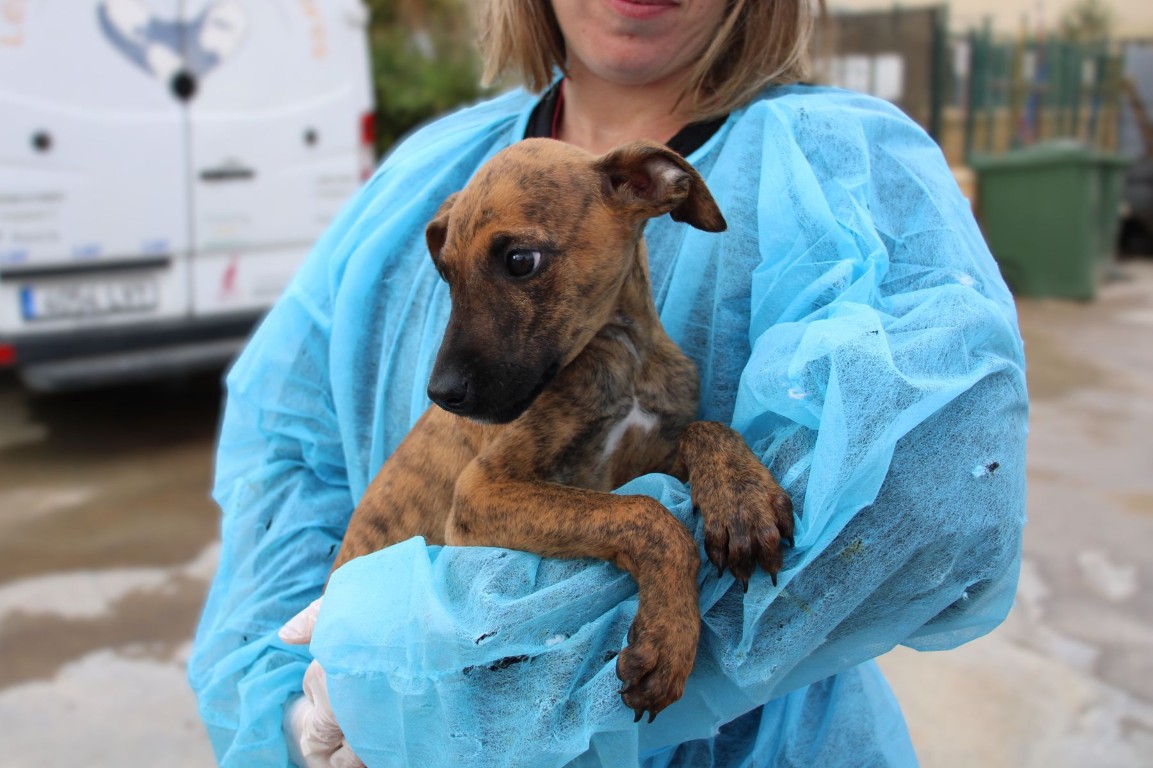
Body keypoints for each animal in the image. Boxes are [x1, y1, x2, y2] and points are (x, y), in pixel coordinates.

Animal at [334, 138, 794, 722]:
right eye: (448, 275)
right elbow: (645, 514)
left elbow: (705, 430)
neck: (621, 355)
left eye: (519, 261)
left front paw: (742, 502)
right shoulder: (482, 490)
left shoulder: (643, 456)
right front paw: (670, 638)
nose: (442, 395)